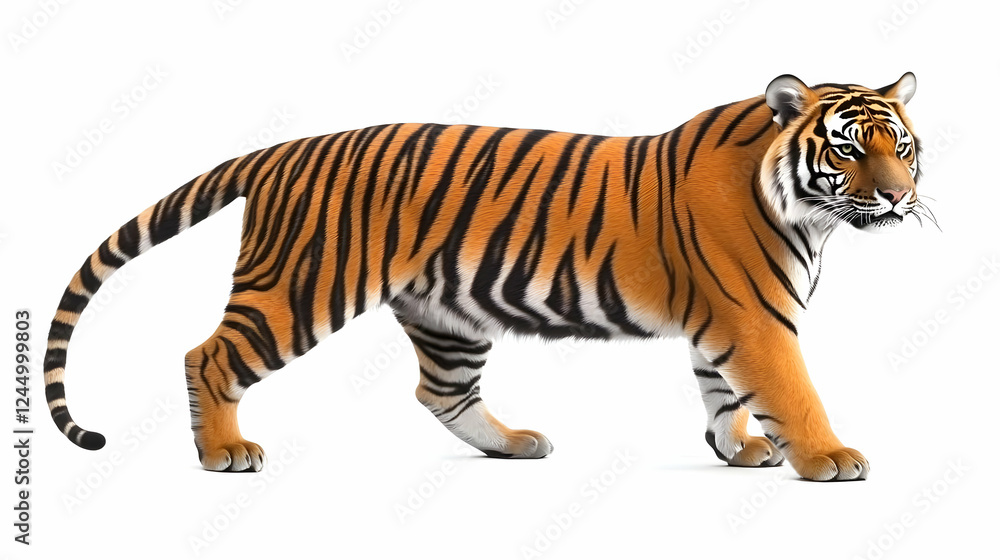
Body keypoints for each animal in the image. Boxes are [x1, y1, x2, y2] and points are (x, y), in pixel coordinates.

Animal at [44, 73, 930, 482]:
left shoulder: (722, 321)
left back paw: (512, 444)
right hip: (299, 291)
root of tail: (284, 150)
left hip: (448, 316)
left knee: (440, 393)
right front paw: (828, 457)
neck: (809, 212)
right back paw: (224, 452)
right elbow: (791, 391)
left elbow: (722, 391)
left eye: (903, 147)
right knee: (208, 356)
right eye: (848, 147)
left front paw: (737, 448)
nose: (898, 196)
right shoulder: (753, 317)